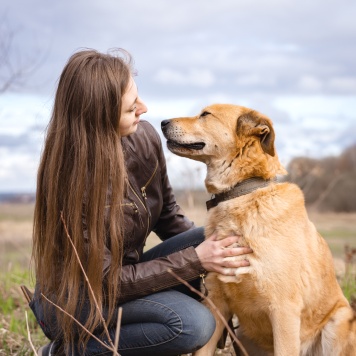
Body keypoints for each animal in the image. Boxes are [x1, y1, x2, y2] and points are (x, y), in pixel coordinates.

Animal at [162, 103, 356, 356]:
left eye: (205, 114)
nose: (162, 122)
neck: (241, 194)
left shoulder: (284, 310)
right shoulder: (216, 304)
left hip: (338, 322)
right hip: (244, 336)